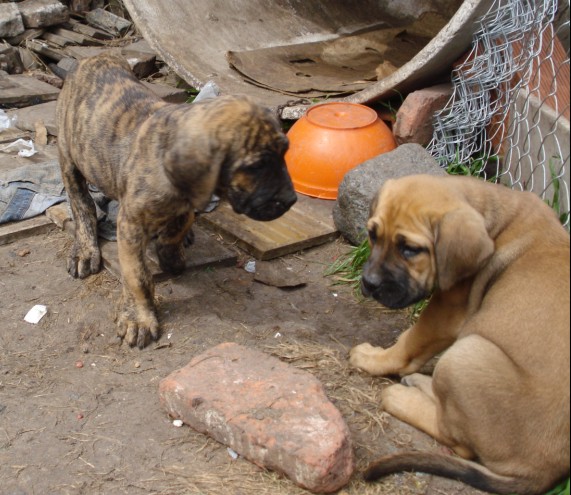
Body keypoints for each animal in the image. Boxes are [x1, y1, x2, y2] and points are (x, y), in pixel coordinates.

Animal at [57, 52, 300, 350]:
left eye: (285, 152)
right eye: (256, 166)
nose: (291, 200)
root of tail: (93, 56)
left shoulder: (190, 201)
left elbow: (177, 227)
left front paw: (171, 254)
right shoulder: (130, 224)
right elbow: (137, 276)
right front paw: (139, 317)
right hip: (69, 157)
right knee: (82, 204)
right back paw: (85, 248)